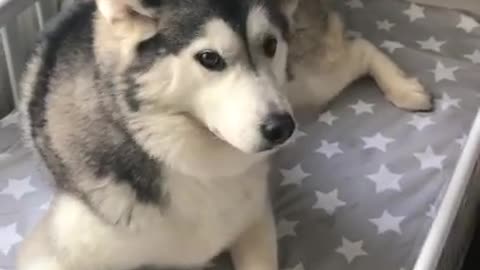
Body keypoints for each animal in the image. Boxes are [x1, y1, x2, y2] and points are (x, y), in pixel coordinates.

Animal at [17, 0, 432, 270]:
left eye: (270, 44)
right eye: (210, 58)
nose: (281, 129)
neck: (191, 161)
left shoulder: (254, 221)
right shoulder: (55, 252)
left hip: (298, 88)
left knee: (358, 48)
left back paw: (405, 89)